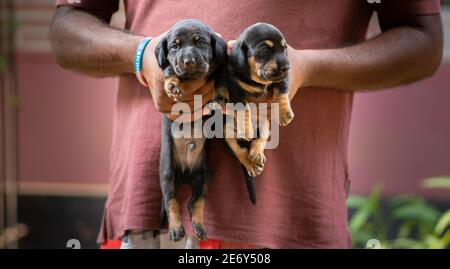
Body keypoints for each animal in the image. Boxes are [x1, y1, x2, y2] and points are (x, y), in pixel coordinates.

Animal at [156, 18, 229, 241]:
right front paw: (172, 85)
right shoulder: (169, 67)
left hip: (203, 176)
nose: (188, 61)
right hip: (167, 173)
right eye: (175, 46)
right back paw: (176, 229)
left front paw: (219, 99)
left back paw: (199, 226)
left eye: (201, 42)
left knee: (194, 202)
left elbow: (221, 79)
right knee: (171, 201)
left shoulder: (220, 69)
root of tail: (185, 175)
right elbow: (170, 72)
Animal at [227, 23, 294, 203]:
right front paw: (245, 129)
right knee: (239, 150)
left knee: (259, 140)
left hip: (264, 125)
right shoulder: (235, 88)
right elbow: (243, 109)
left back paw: (256, 154)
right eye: (264, 49)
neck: (258, 81)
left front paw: (284, 113)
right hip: (226, 131)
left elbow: (282, 92)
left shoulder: (282, 80)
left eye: (284, 48)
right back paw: (250, 163)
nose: (287, 67)